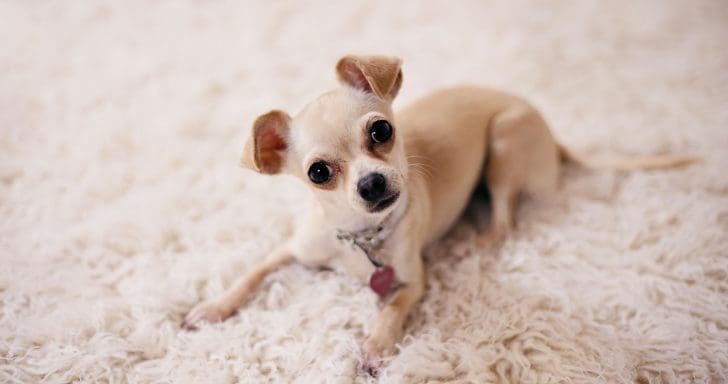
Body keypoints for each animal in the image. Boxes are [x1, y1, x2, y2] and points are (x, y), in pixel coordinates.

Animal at [182, 54, 692, 366]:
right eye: (319, 173)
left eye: (382, 131)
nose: (371, 183)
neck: (361, 236)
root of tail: (552, 139)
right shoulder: (290, 250)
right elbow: (250, 274)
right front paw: (212, 308)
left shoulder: (413, 283)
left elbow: (391, 310)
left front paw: (374, 346)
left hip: (504, 145)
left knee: (504, 220)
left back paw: (472, 244)